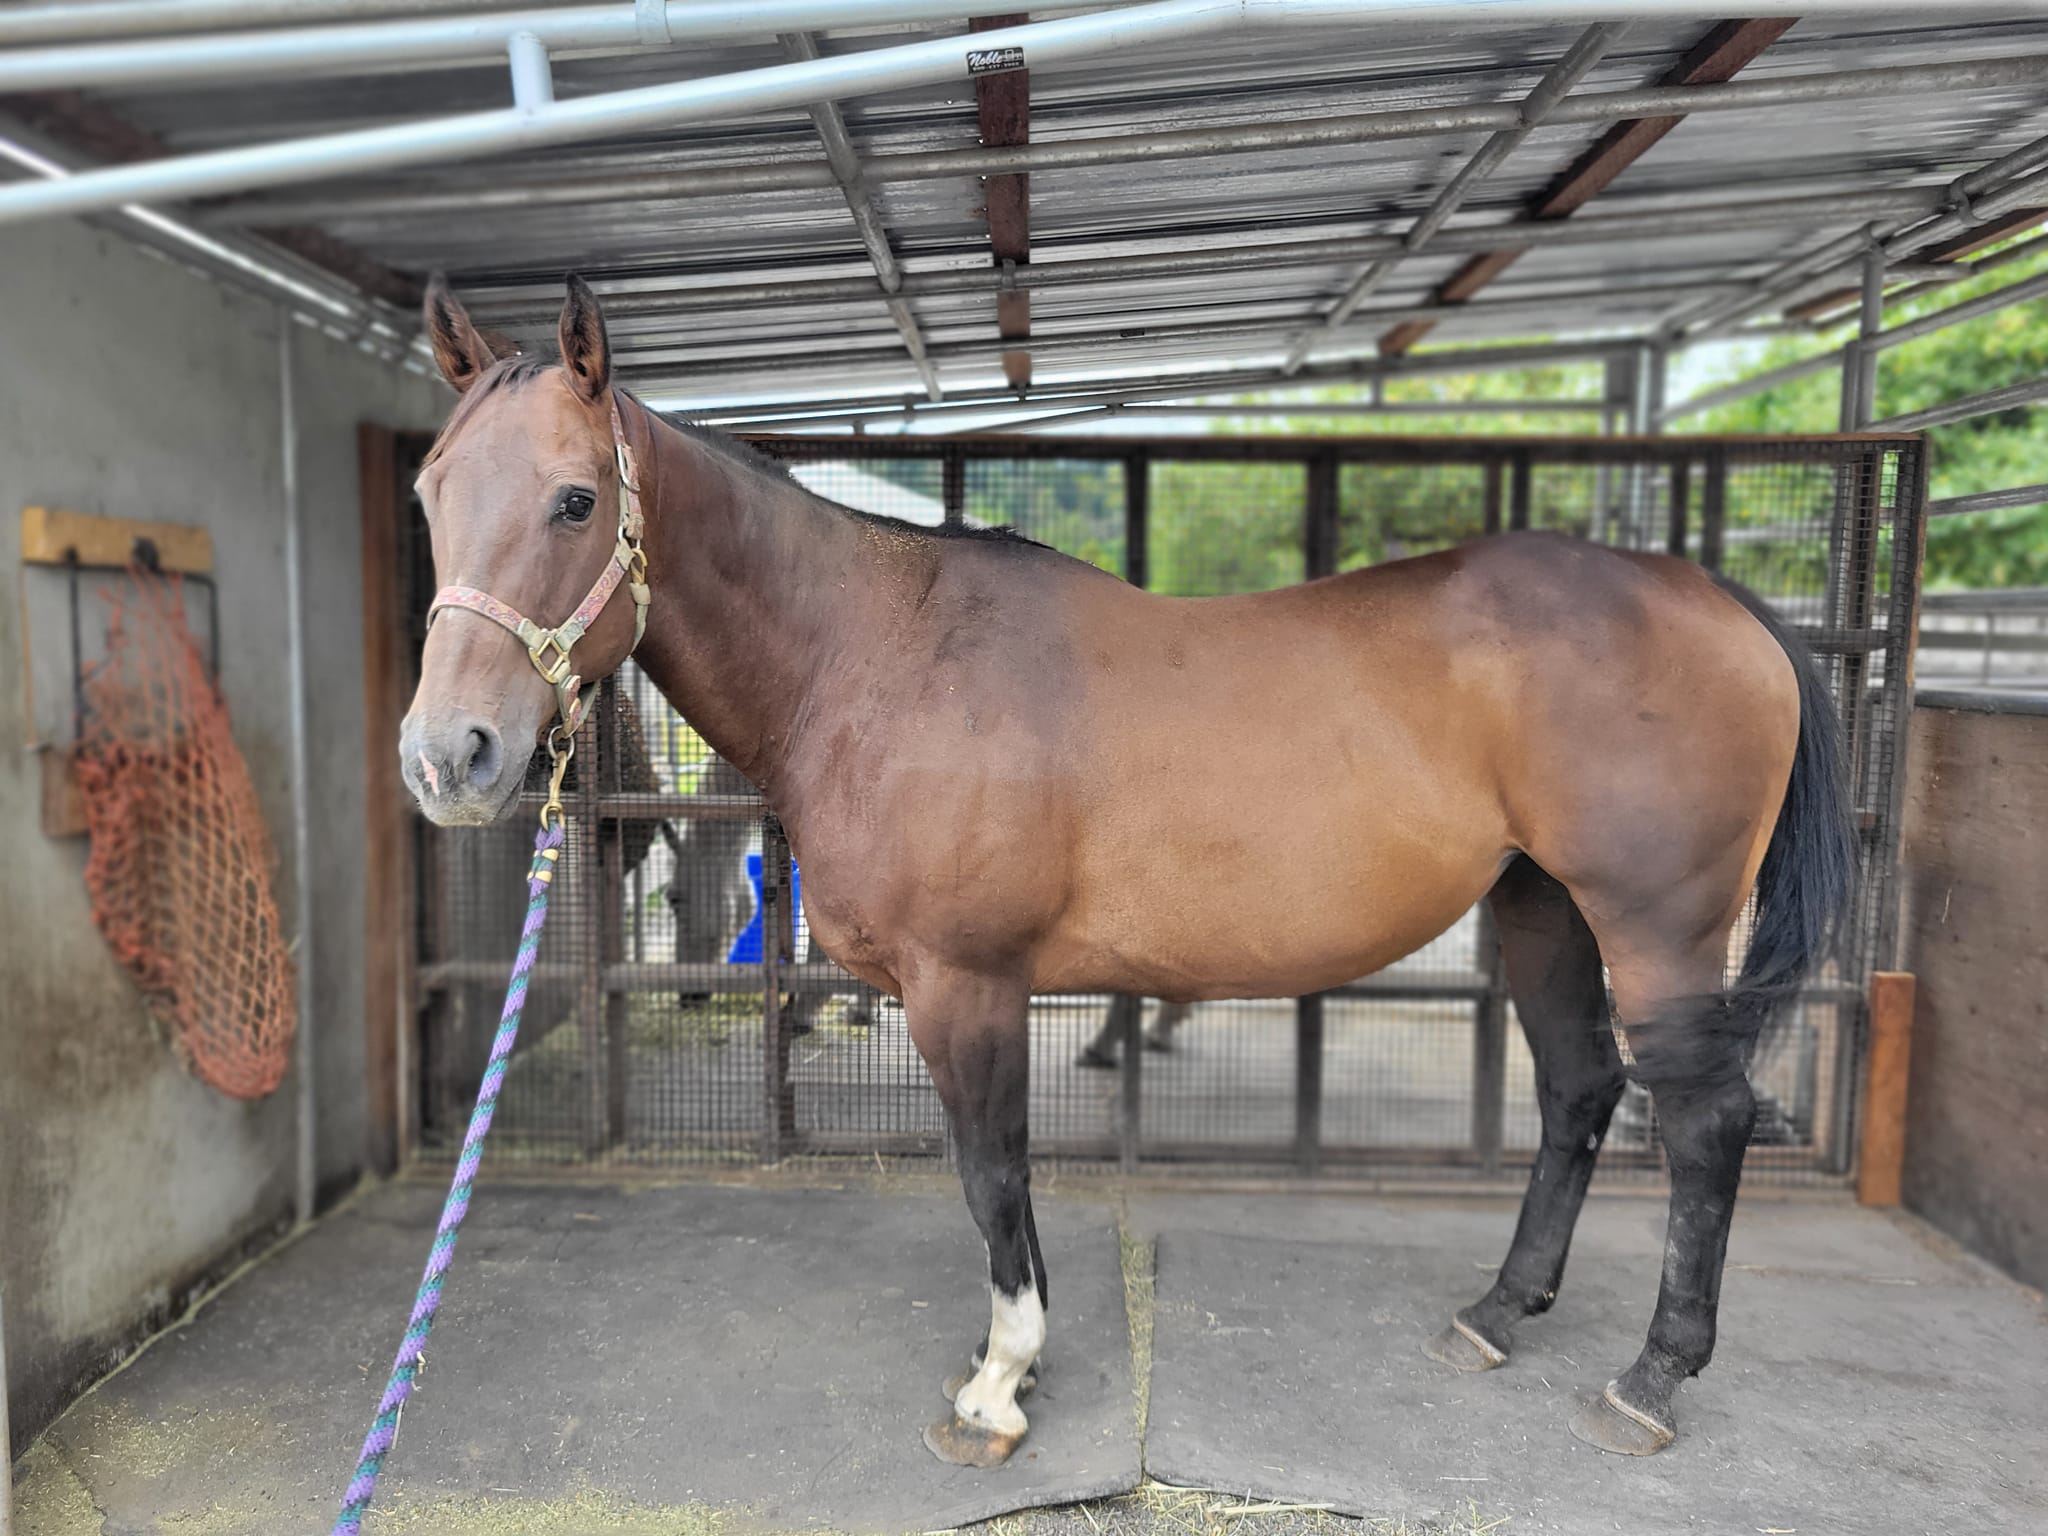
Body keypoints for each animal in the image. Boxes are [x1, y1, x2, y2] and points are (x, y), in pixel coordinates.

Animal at [399, 282, 1859, 1474]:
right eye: (428, 491)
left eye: (575, 498)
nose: (447, 756)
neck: (877, 660)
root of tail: (1719, 603)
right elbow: (998, 1176)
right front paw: (1011, 1361)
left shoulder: (966, 986)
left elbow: (991, 1170)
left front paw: (997, 1388)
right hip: (1541, 908)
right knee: (1577, 1091)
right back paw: (1498, 1313)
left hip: (1656, 930)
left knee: (1703, 1124)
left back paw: (1648, 1382)